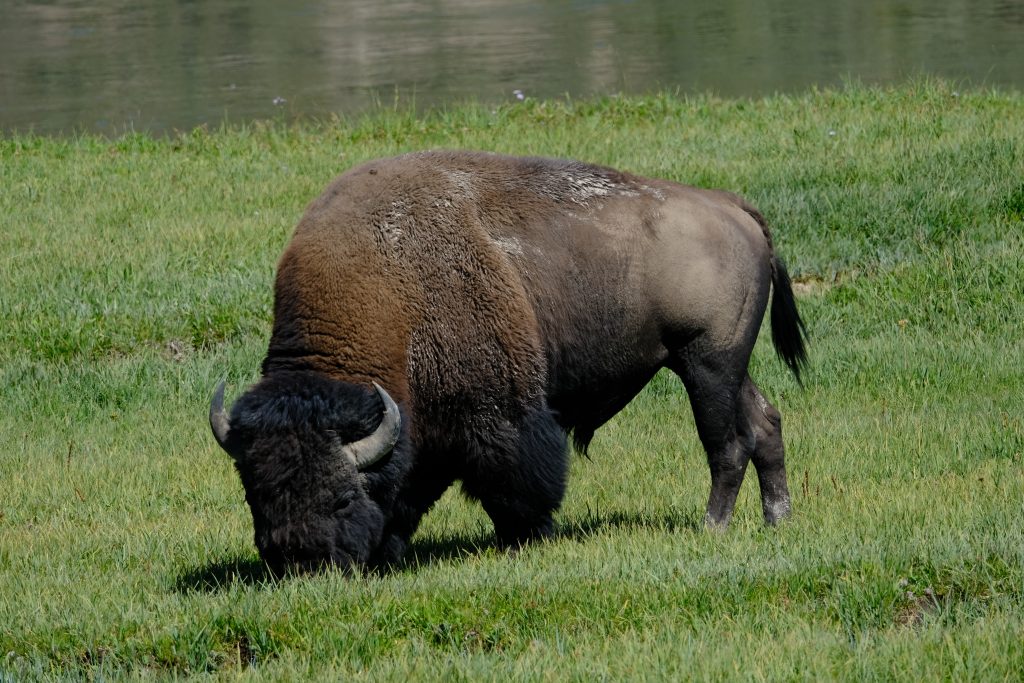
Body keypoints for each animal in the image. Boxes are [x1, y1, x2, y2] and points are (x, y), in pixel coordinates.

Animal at [211, 150, 806, 577]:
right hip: (723, 367)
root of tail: (729, 204)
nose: (303, 565)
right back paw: (777, 520)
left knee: (727, 445)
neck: (387, 288)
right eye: (256, 498)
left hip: (706, 365)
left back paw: (713, 527)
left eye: (340, 498)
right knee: (766, 424)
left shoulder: (497, 415)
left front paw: (525, 539)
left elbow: (515, 480)